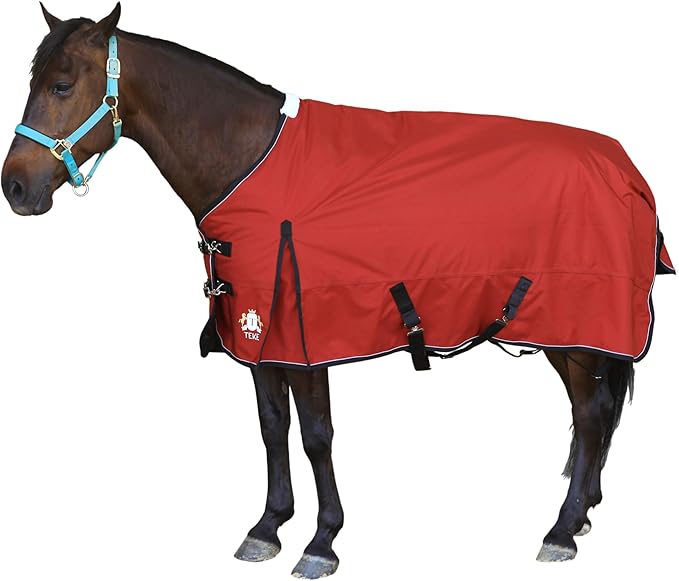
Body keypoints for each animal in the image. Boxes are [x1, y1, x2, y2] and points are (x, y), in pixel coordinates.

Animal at [1, 4, 674, 578]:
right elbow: (273, 427)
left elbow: (316, 436)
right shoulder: (259, 334)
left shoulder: (306, 340)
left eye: (61, 86)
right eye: (34, 81)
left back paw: (561, 530)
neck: (251, 161)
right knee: (595, 414)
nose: (15, 189)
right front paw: (268, 527)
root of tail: (626, 169)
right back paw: (581, 515)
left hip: (575, 328)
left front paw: (322, 541)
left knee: (591, 415)